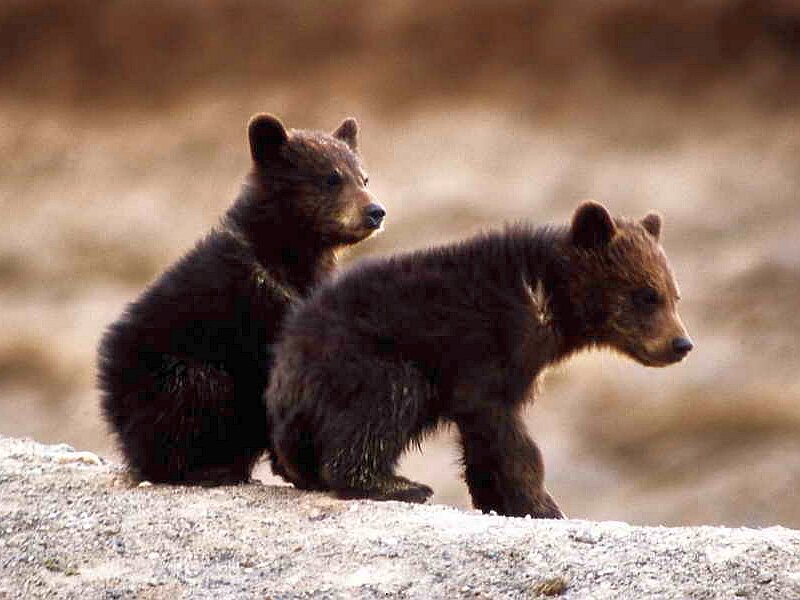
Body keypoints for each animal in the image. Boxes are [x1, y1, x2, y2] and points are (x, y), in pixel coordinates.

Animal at [98, 114, 384, 485]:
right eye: (331, 178)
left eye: (363, 176)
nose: (376, 211)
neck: (289, 258)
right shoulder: (255, 309)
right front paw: (299, 469)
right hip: (167, 374)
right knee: (198, 392)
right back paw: (207, 468)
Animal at [266, 201, 693, 517]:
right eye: (646, 295)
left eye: (674, 294)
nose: (681, 343)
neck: (549, 298)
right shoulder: (490, 346)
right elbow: (505, 432)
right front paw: (540, 503)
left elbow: (483, 437)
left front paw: (500, 498)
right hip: (362, 358)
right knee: (386, 401)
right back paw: (400, 484)